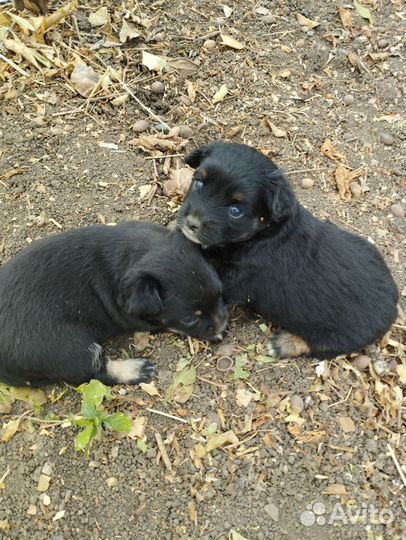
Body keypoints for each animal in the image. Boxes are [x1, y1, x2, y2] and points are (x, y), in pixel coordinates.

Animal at [176, 141, 398, 358]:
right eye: (198, 183)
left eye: (235, 211)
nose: (191, 223)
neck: (264, 233)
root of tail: (394, 305)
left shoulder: (236, 280)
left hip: (340, 335)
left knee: (322, 347)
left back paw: (284, 344)